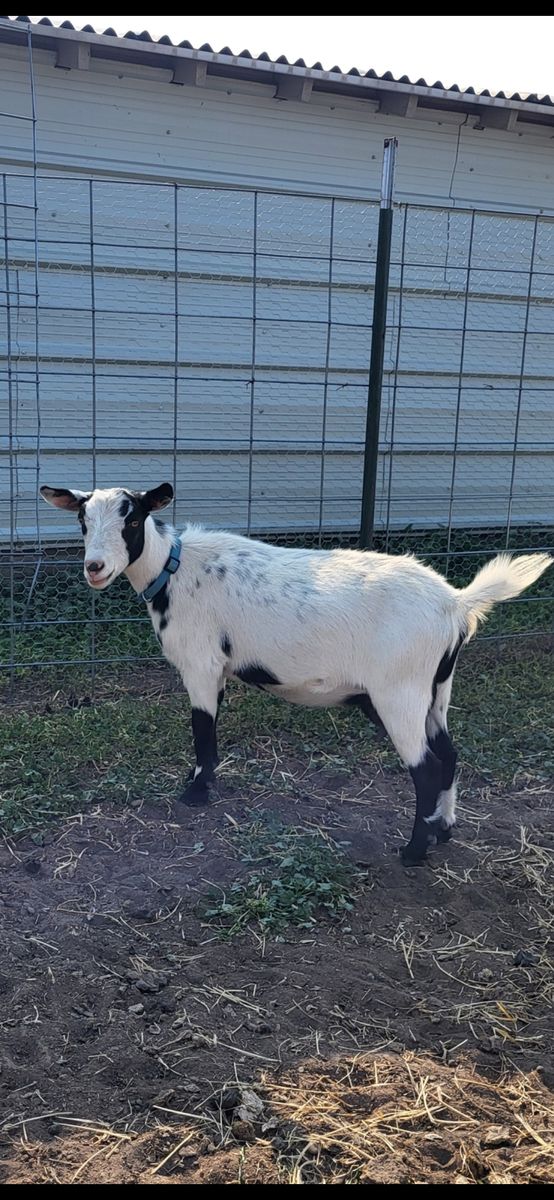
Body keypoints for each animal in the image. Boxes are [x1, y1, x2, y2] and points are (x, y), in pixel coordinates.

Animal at [40, 481, 552, 864]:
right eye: (82, 521)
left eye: (131, 519)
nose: (94, 568)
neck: (176, 568)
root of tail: (456, 604)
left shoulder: (201, 663)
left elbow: (202, 728)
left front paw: (196, 792)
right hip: (436, 689)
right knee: (448, 755)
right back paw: (442, 830)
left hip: (399, 692)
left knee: (425, 767)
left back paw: (413, 851)